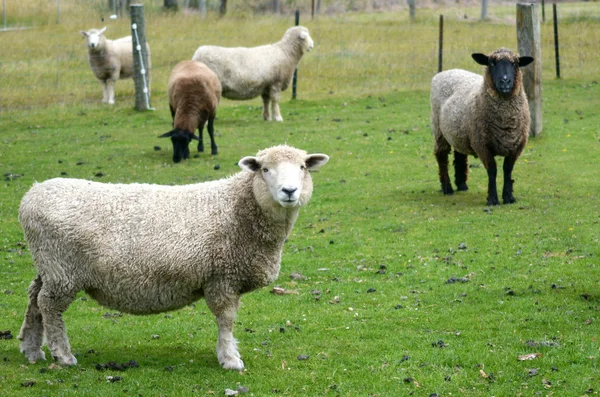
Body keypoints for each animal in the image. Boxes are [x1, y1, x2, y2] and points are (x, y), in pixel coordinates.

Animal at [16, 145, 330, 368]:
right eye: (265, 169)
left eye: (303, 167)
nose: (289, 191)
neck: (238, 207)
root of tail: (31, 195)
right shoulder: (222, 277)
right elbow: (226, 320)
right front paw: (230, 358)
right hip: (62, 268)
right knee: (49, 306)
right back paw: (62, 355)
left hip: (48, 265)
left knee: (34, 297)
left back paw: (31, 349)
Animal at [432, 47, 536, 204]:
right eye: (491, 63)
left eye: (515, 64)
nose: (505, 81)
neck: (505, 120)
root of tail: (447, 71)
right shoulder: (482, 144)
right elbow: (492, 170)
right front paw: (493, 199)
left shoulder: (517, 145)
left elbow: (508, 170)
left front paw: (508, 197)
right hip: (439, 129)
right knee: (441, 156)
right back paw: (447, 188)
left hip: (460, 131)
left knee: (460, 153)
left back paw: (462, 185)